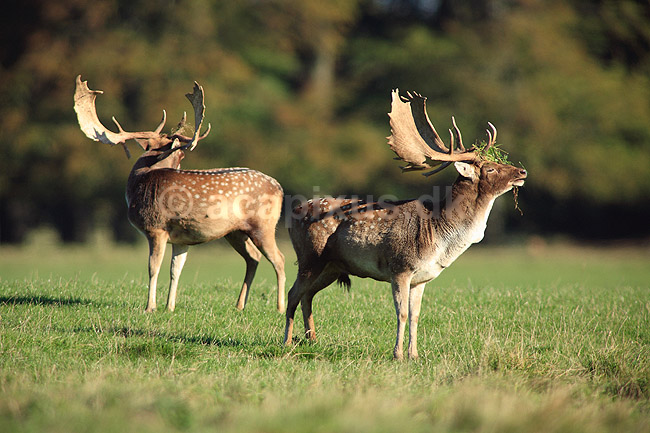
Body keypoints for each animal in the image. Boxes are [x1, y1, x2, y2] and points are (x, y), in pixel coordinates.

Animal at [73, 75, 286, 313]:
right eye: (180, 156)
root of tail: (279, 188)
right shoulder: (182, 238)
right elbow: (175, 270)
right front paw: (170, 306)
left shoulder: (156, 227)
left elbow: (153, 267)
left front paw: (150, 307)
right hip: (235, 232)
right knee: (253, 258)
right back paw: (240, 305)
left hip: (263, 225)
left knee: (279, 259)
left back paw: (280, 307)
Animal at [283, 89, 527, 360]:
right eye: (491, 169)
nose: (521, 172)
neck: (439, 235)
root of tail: (292, 212)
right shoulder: (400, 266)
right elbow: (400, 313)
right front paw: (398, 354)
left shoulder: (421, 277)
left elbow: (415, 315)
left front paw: (414, 354)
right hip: (310, 256)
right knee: (293, 293)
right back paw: (286, 342)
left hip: (331, 266)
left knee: (307, 295)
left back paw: (312, 339)